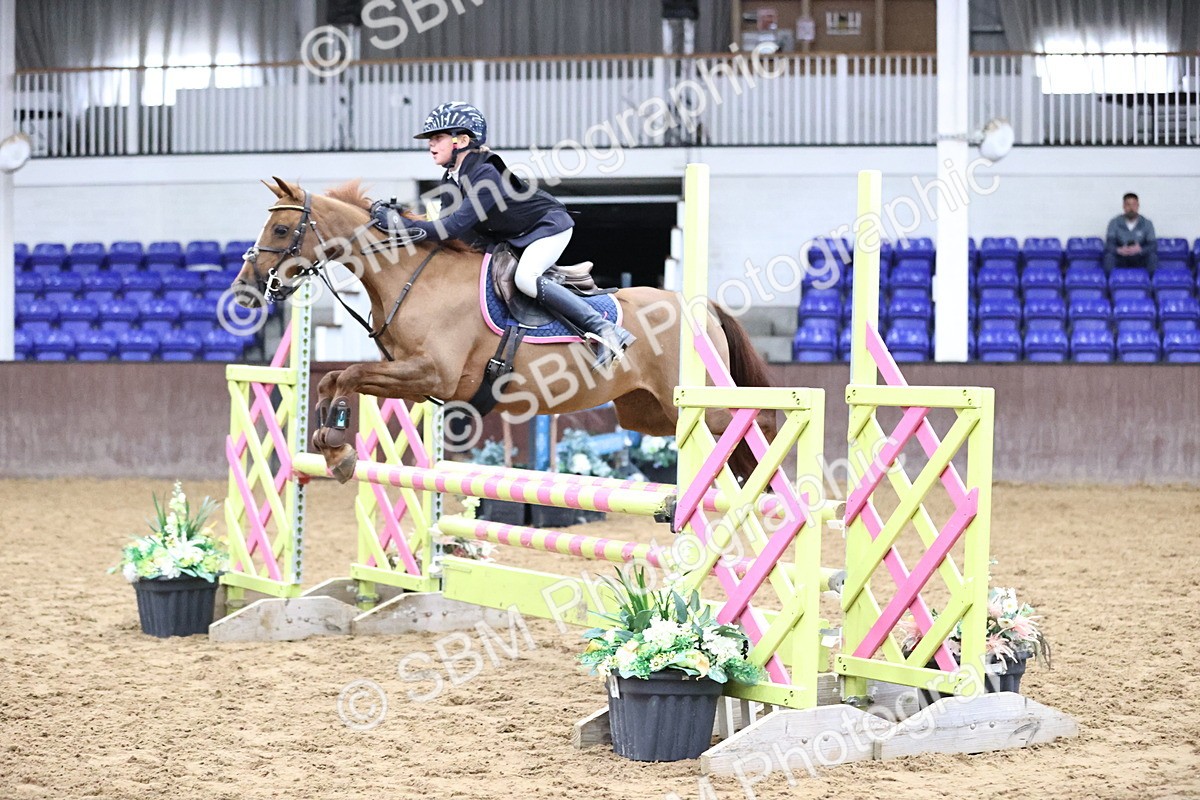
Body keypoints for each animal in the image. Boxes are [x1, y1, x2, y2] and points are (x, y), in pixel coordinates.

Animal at [232, 177, 776, 483]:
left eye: (281, 230)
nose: (246, 290)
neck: (411, 276)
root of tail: (700, 306)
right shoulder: (408, 376)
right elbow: (331, 377)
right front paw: (333, 446)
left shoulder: (432, 374)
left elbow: (346, 375)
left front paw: (338, 446)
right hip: (647, 414)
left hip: (698, 409)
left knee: (748, 429)